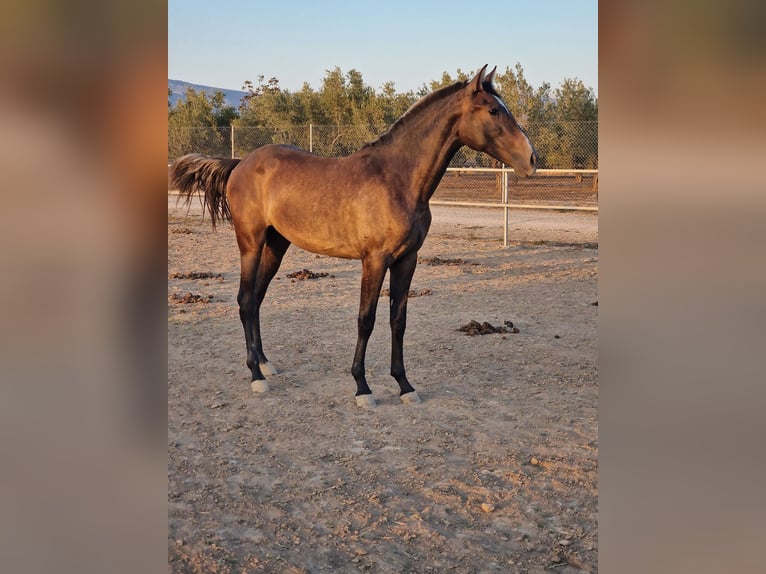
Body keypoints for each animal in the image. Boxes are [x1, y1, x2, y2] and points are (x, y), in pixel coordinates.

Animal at [171, 66, 536, 410]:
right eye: (493, 110)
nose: (531, 159)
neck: (398, 179)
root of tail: (241, 163)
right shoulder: (373, 261)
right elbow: (366, 320)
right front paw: (363, 388)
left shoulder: (407, 260)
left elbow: (398, 321)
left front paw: (405, 386)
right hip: (251, 242)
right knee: (246, 300)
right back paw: (256, 377)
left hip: (276, 244)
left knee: (257, 299)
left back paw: (265, 364)